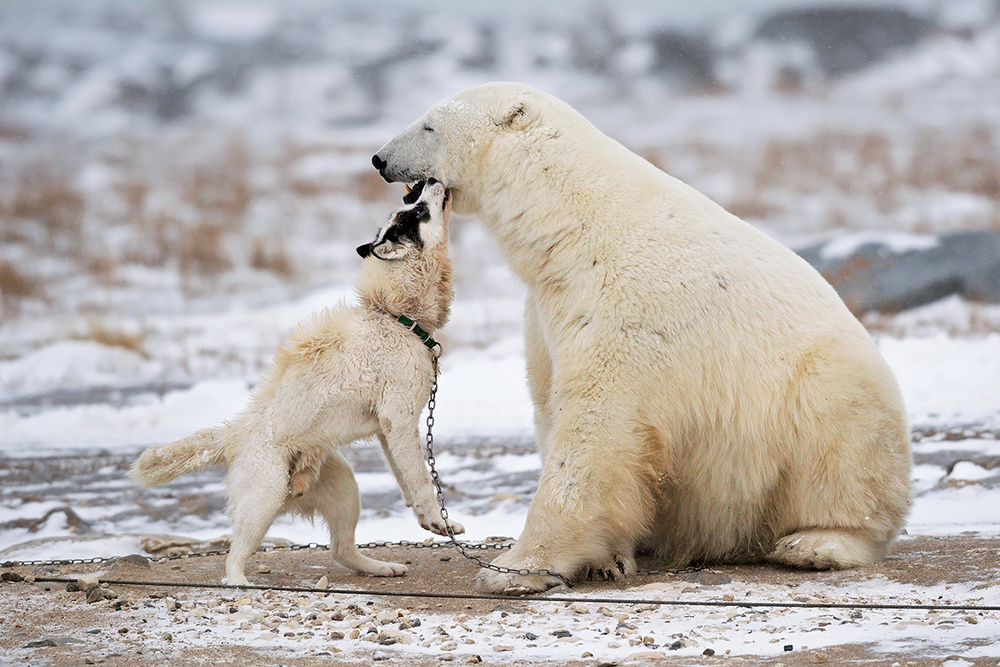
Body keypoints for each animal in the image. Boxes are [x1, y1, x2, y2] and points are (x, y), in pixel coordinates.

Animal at [131, 180, 462, 588]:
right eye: (417, 211)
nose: (429, 181)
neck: (394, 316)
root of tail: (235, 433)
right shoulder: (398, 420)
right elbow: (421, 478)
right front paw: (435, 519)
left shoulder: (390, 432)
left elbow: (405, 478)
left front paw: (425, 519)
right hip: (266, 495)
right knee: (233, 557)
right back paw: (239, 584)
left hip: (343, 487)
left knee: (341, 550)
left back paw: (379, 567)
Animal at [372, 83, 912, 596]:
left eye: (429, 125)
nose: (379, 158)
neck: (570, 224)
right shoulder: (547, 309)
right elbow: (551, 403)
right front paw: (606, 559)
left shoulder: (626, 309)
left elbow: (597, 425)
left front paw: (516, 568)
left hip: (825, 388)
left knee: (839, 443)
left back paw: (818, 543)